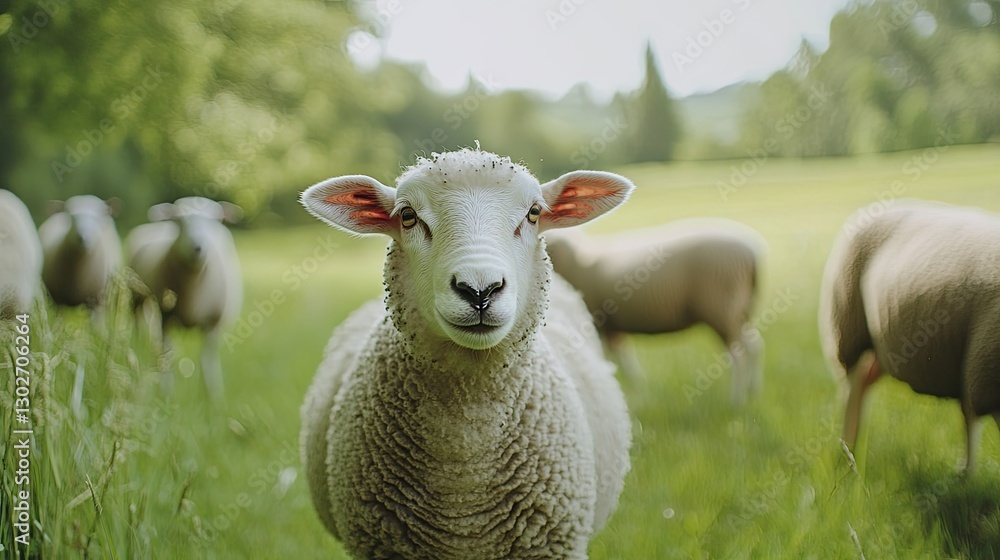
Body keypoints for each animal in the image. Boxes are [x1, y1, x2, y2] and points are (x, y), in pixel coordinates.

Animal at [125, 197, 243, 404]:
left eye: (217, 219)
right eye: (178, 220)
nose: (197, 248)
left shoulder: (212, 324)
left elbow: (207, 361)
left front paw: (212, 399)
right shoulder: (166, 318)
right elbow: (166, 355)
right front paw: (167, 395)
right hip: (137, 295)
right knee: (138, 320)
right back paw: (138, 347)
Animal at [544, 219, 766, 404]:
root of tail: (752, 254)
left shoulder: (599, 320)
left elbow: (612, 357)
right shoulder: (612, 323)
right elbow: (622, 356)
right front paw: (636, 385)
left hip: (720, 307)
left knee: (739, 356)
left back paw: (736, 399)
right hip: (738, 310)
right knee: (754, 345)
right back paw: (752, 389)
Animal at [819, 199, 1000, 473]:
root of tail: (880, 205)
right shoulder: (985, 374)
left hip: (885, 348)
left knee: (864, 385)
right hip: (847, 331)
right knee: (851, 391)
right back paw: (849, 453)